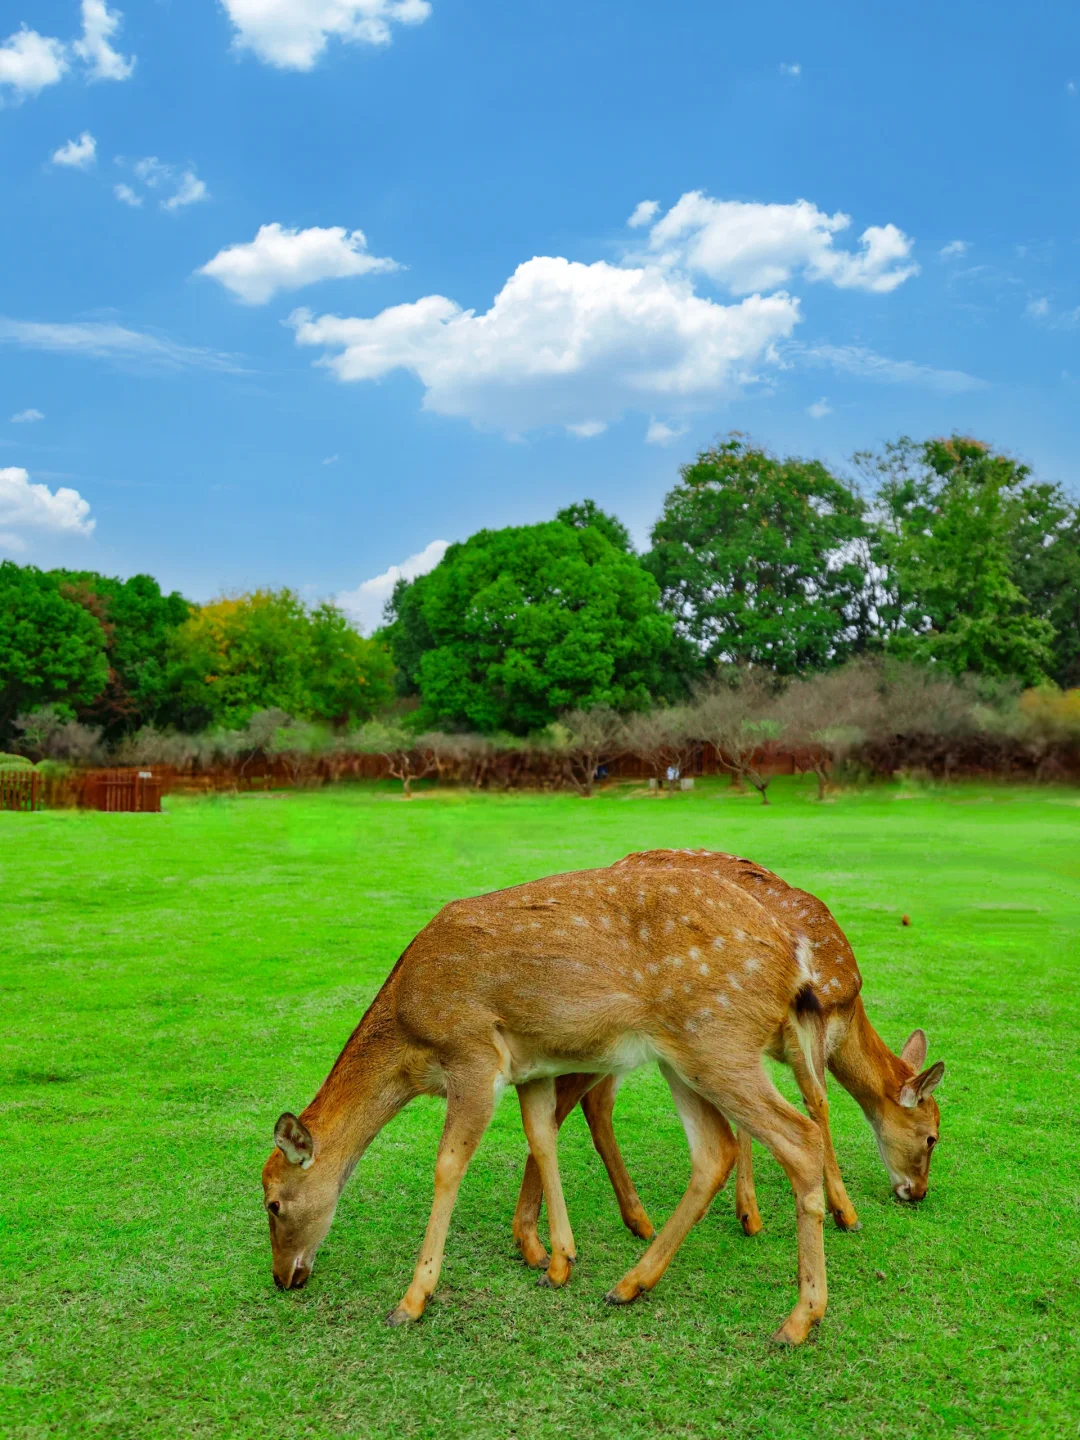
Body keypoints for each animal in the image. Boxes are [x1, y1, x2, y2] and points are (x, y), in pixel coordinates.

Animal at [263, 862, 846, 1344]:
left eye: (272, 1202)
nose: (283, 1277)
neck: (412, 1042)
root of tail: (795, 961)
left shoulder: (473, 1056)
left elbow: (448, 1165)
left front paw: (411, 1300)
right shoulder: (531, 1068)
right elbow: (542, 1139)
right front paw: (557, 1260)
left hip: (717, 1039)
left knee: (799, 1137)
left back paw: (799, 1319)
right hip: (682, 1055)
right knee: (713, 1151)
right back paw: (630, 1283)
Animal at [510, 849, 945, 1272]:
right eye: (931, 1137)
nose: (918, 1192)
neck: (848, 1011)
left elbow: (749, 1124)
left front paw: (748, 1213)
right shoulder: (812, 1023)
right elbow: (818, 1103)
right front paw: (844, 1212)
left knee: (592, 1102)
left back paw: (625, 1224)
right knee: (568, 1099)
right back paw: (538, 1243)